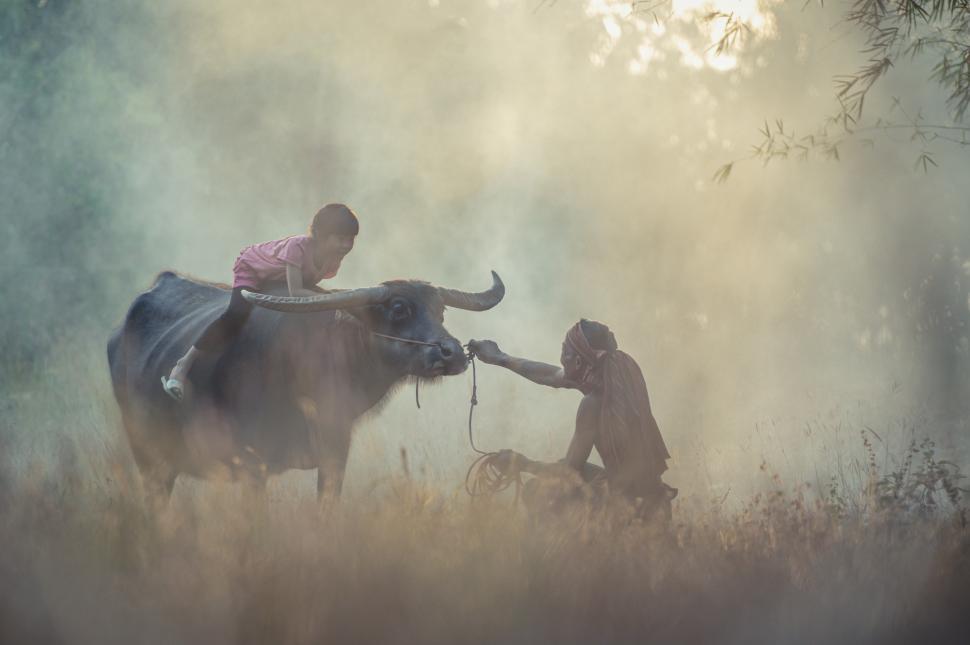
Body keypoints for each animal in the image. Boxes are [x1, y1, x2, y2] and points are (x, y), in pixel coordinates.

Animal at [107, 270, 504, 507]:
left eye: (440, 311)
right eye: (398, 308)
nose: (452, 353)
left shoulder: (334, 456)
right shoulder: (253, 466)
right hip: (149, 457)